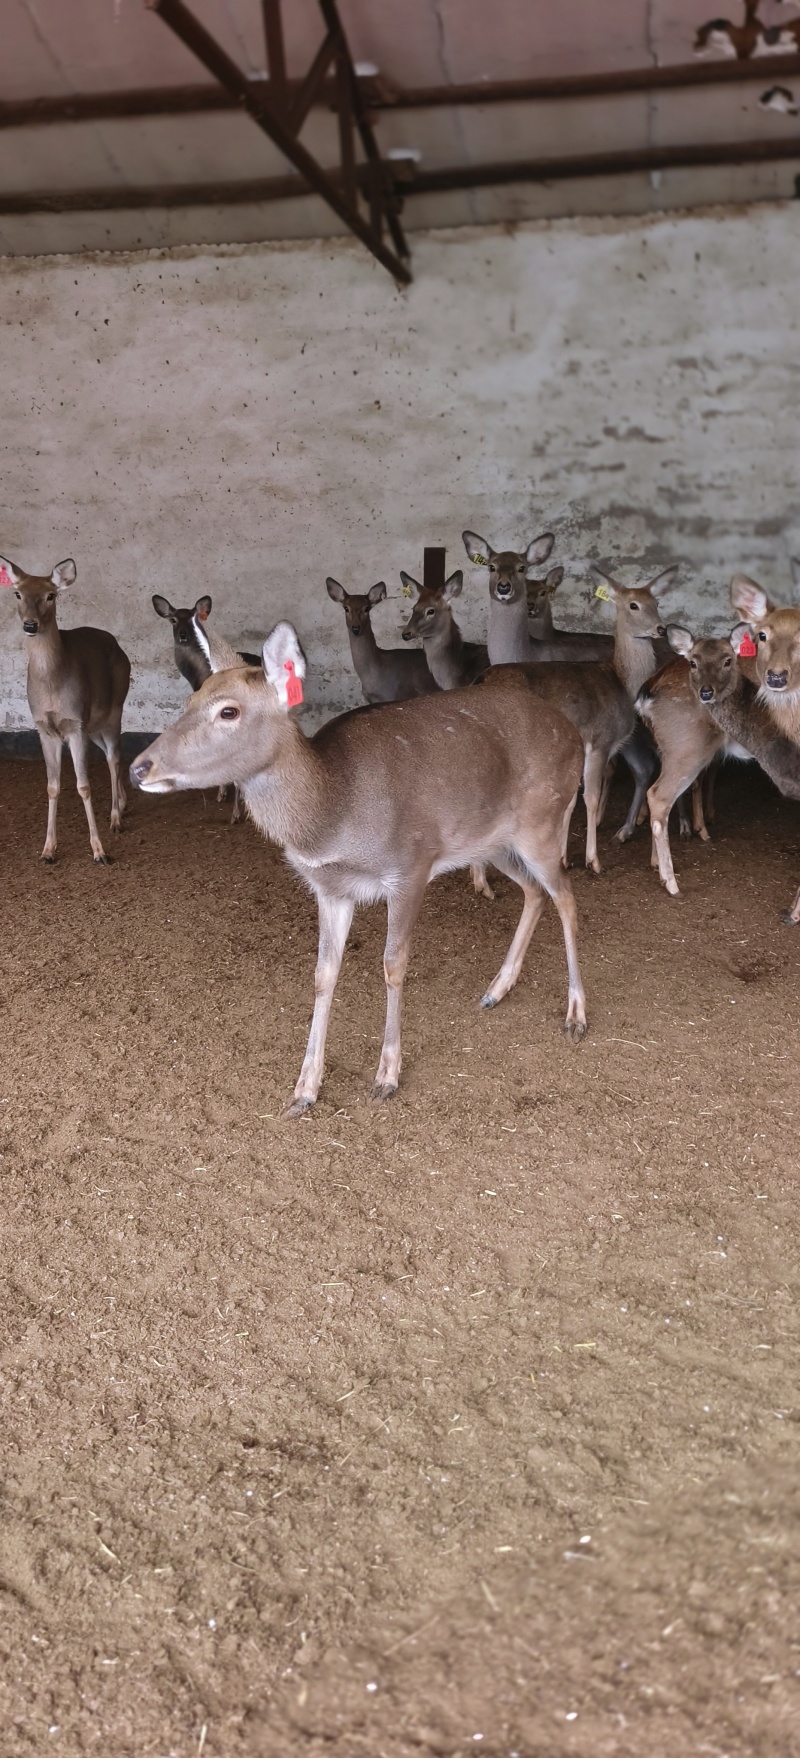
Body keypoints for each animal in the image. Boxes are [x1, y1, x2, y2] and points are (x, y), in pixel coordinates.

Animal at [0, 554, 130, 864]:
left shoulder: (75, 724)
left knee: (114, 756)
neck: (52, 688)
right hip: (93, 724)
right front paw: (47, 850)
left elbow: (83, 785)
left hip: (114, 709)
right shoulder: (44, 728)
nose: (30, 625)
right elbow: (52, 786)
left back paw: (116, 818)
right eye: (17, 593)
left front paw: (99, 852)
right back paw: (122, 803)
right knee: (111, 754)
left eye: (51, 595)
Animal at [130, 624, 588, 1114]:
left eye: (228, 711)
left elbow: (393, 963)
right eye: (189, 700)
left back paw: (576, 1014)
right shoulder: (329, 887)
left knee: (566, 895)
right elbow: (323, 972)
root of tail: (575, 735)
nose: (139, 767)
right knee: (535, 892)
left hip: (544, 820)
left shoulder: (411, 865)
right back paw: (496, 990)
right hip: (494, 842)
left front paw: (387, 1075)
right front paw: (304, 1088)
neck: (334, 814)